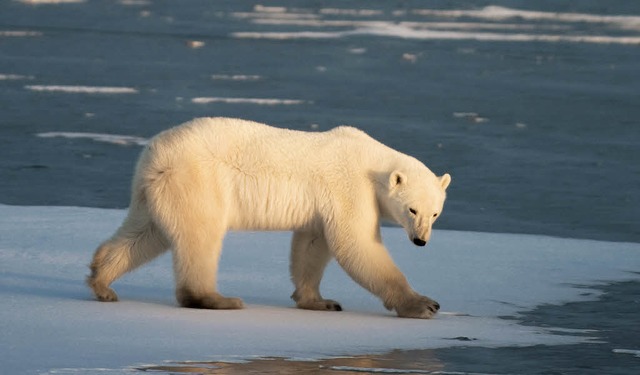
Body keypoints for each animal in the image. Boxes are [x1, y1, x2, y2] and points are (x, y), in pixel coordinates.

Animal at [89, 118, 450, 320]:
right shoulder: (350, 186)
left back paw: (102, 283)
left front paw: (319, 301)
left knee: (144, 234)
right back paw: (218, 299)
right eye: (412, 210)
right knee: (201, 237)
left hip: (156, 191)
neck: (371, 161)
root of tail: (155, 154)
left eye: (435, 212)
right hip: (198, 179)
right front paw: (424, 305)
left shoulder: (322, 204)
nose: (421, 240)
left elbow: (311, 245)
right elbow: (357, 243)